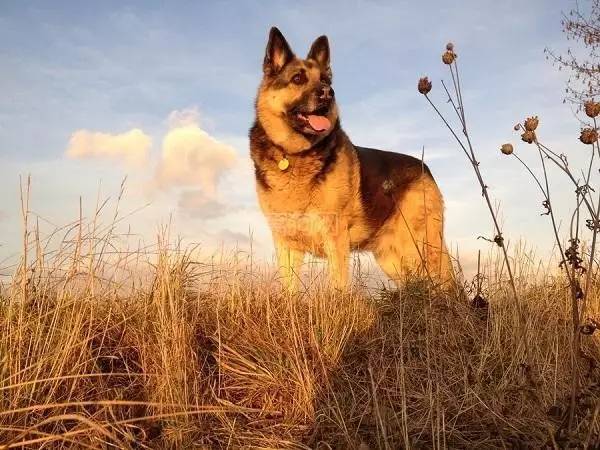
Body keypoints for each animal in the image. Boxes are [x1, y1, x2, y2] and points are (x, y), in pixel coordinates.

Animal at [248, 28, 450, 290]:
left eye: (326, 81)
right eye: (298, 79)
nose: (328, 93)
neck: (293, 154)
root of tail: (425, 168)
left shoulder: (335, 238)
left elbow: (339, 287)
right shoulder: (286, 243)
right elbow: (289, 290)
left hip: (423, 249)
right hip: (394, 259)